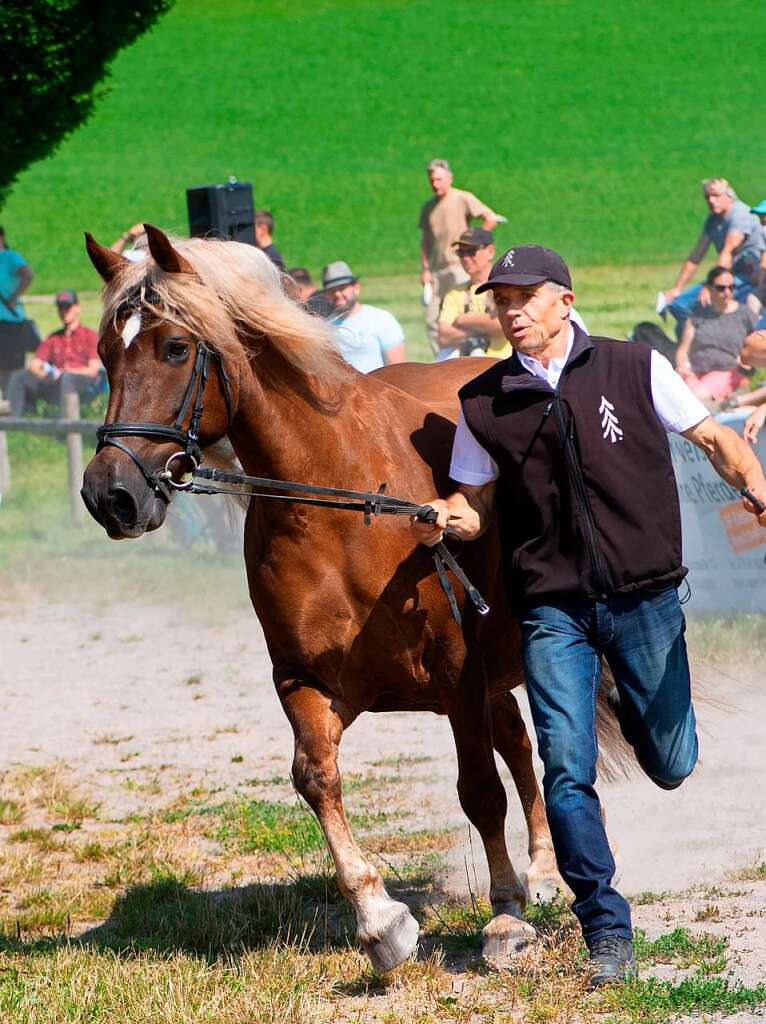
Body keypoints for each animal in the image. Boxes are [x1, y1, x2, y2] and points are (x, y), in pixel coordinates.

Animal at [80, 228, 577, 970]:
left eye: (174, 348)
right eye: (108, 352)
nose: (109, 494)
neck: (341, 503)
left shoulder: (458, 676)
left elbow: (480, 792)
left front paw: (506, 916)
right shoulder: (307, 681)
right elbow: (316, 779)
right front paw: (380, 920)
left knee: (519, 755)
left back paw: (541, 877)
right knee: (518, 744)